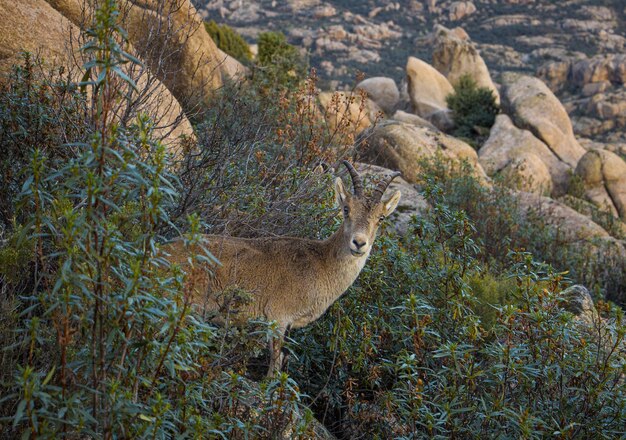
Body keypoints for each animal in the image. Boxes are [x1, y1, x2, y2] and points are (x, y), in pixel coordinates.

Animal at [165, 162, 400, 374]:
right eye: (346, 209)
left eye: (381, 218)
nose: (359, 243)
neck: (321, 263)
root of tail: (162, 251)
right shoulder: (278, 318)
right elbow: (275, 364)